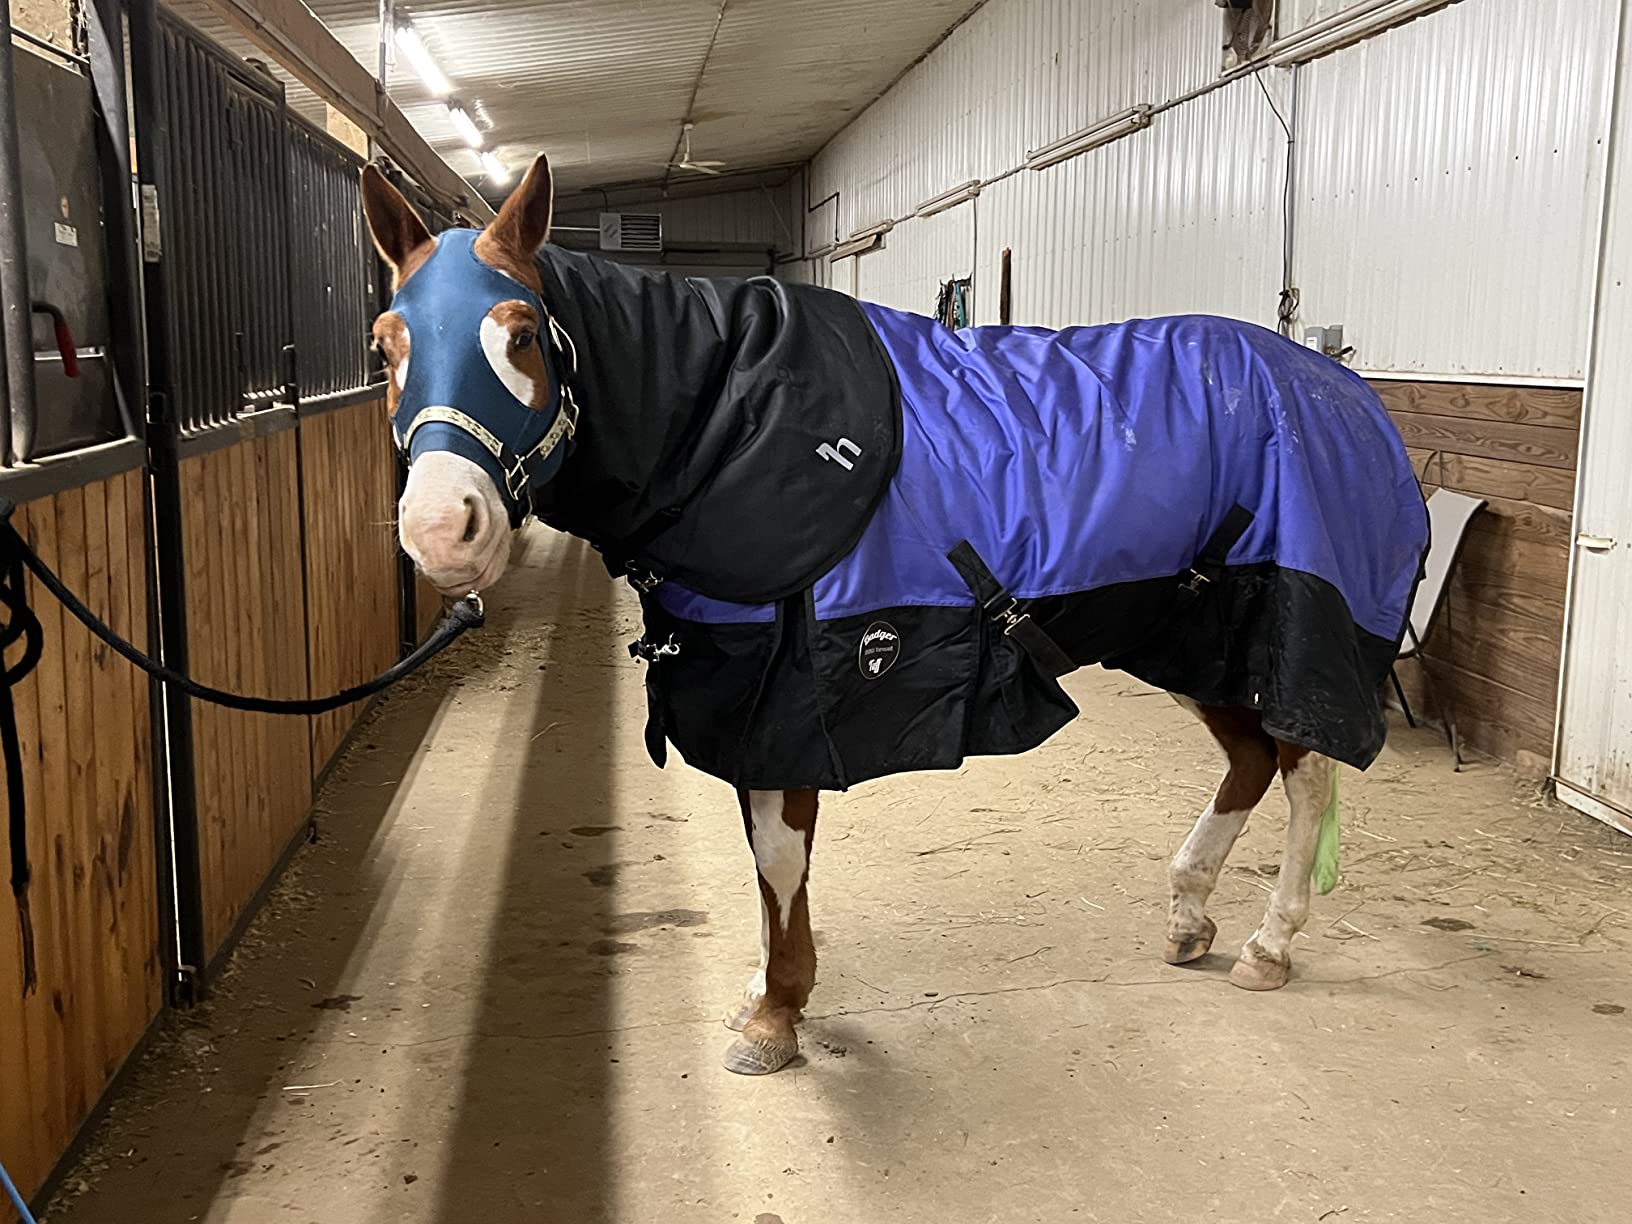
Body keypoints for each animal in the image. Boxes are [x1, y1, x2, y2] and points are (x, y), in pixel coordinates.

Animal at [360, 154, 1429, 1076]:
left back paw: (1269, 942)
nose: (442, 529)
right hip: (1191, 639)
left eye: (520, 334)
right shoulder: (749, 701)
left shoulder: (789, 703)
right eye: (386, 343)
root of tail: (1345, 390)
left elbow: (778, 860)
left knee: (1306, 776)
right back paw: (1188, 919)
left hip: (1286, 635)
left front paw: (777, 1014)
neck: (728, 419)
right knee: (1252, 762)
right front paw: (768, 992)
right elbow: (763, 866)